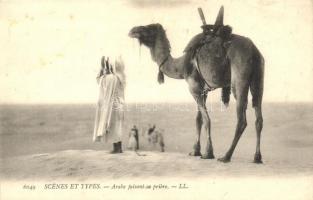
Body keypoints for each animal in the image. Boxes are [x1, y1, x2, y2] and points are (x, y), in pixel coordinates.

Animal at [127, 6, 264, 162]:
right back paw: (257, 157)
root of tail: (254, 51)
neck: (181, 65)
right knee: (259, 117)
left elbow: (206, 119)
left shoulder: (194, 88)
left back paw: (226, 156)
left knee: (241, 119)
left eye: (149, 28)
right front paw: (195, 151)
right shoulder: (202, 90)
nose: (133, 30)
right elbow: (198, 119)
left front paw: (208, 153)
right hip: (258, 77)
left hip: (239, 76)